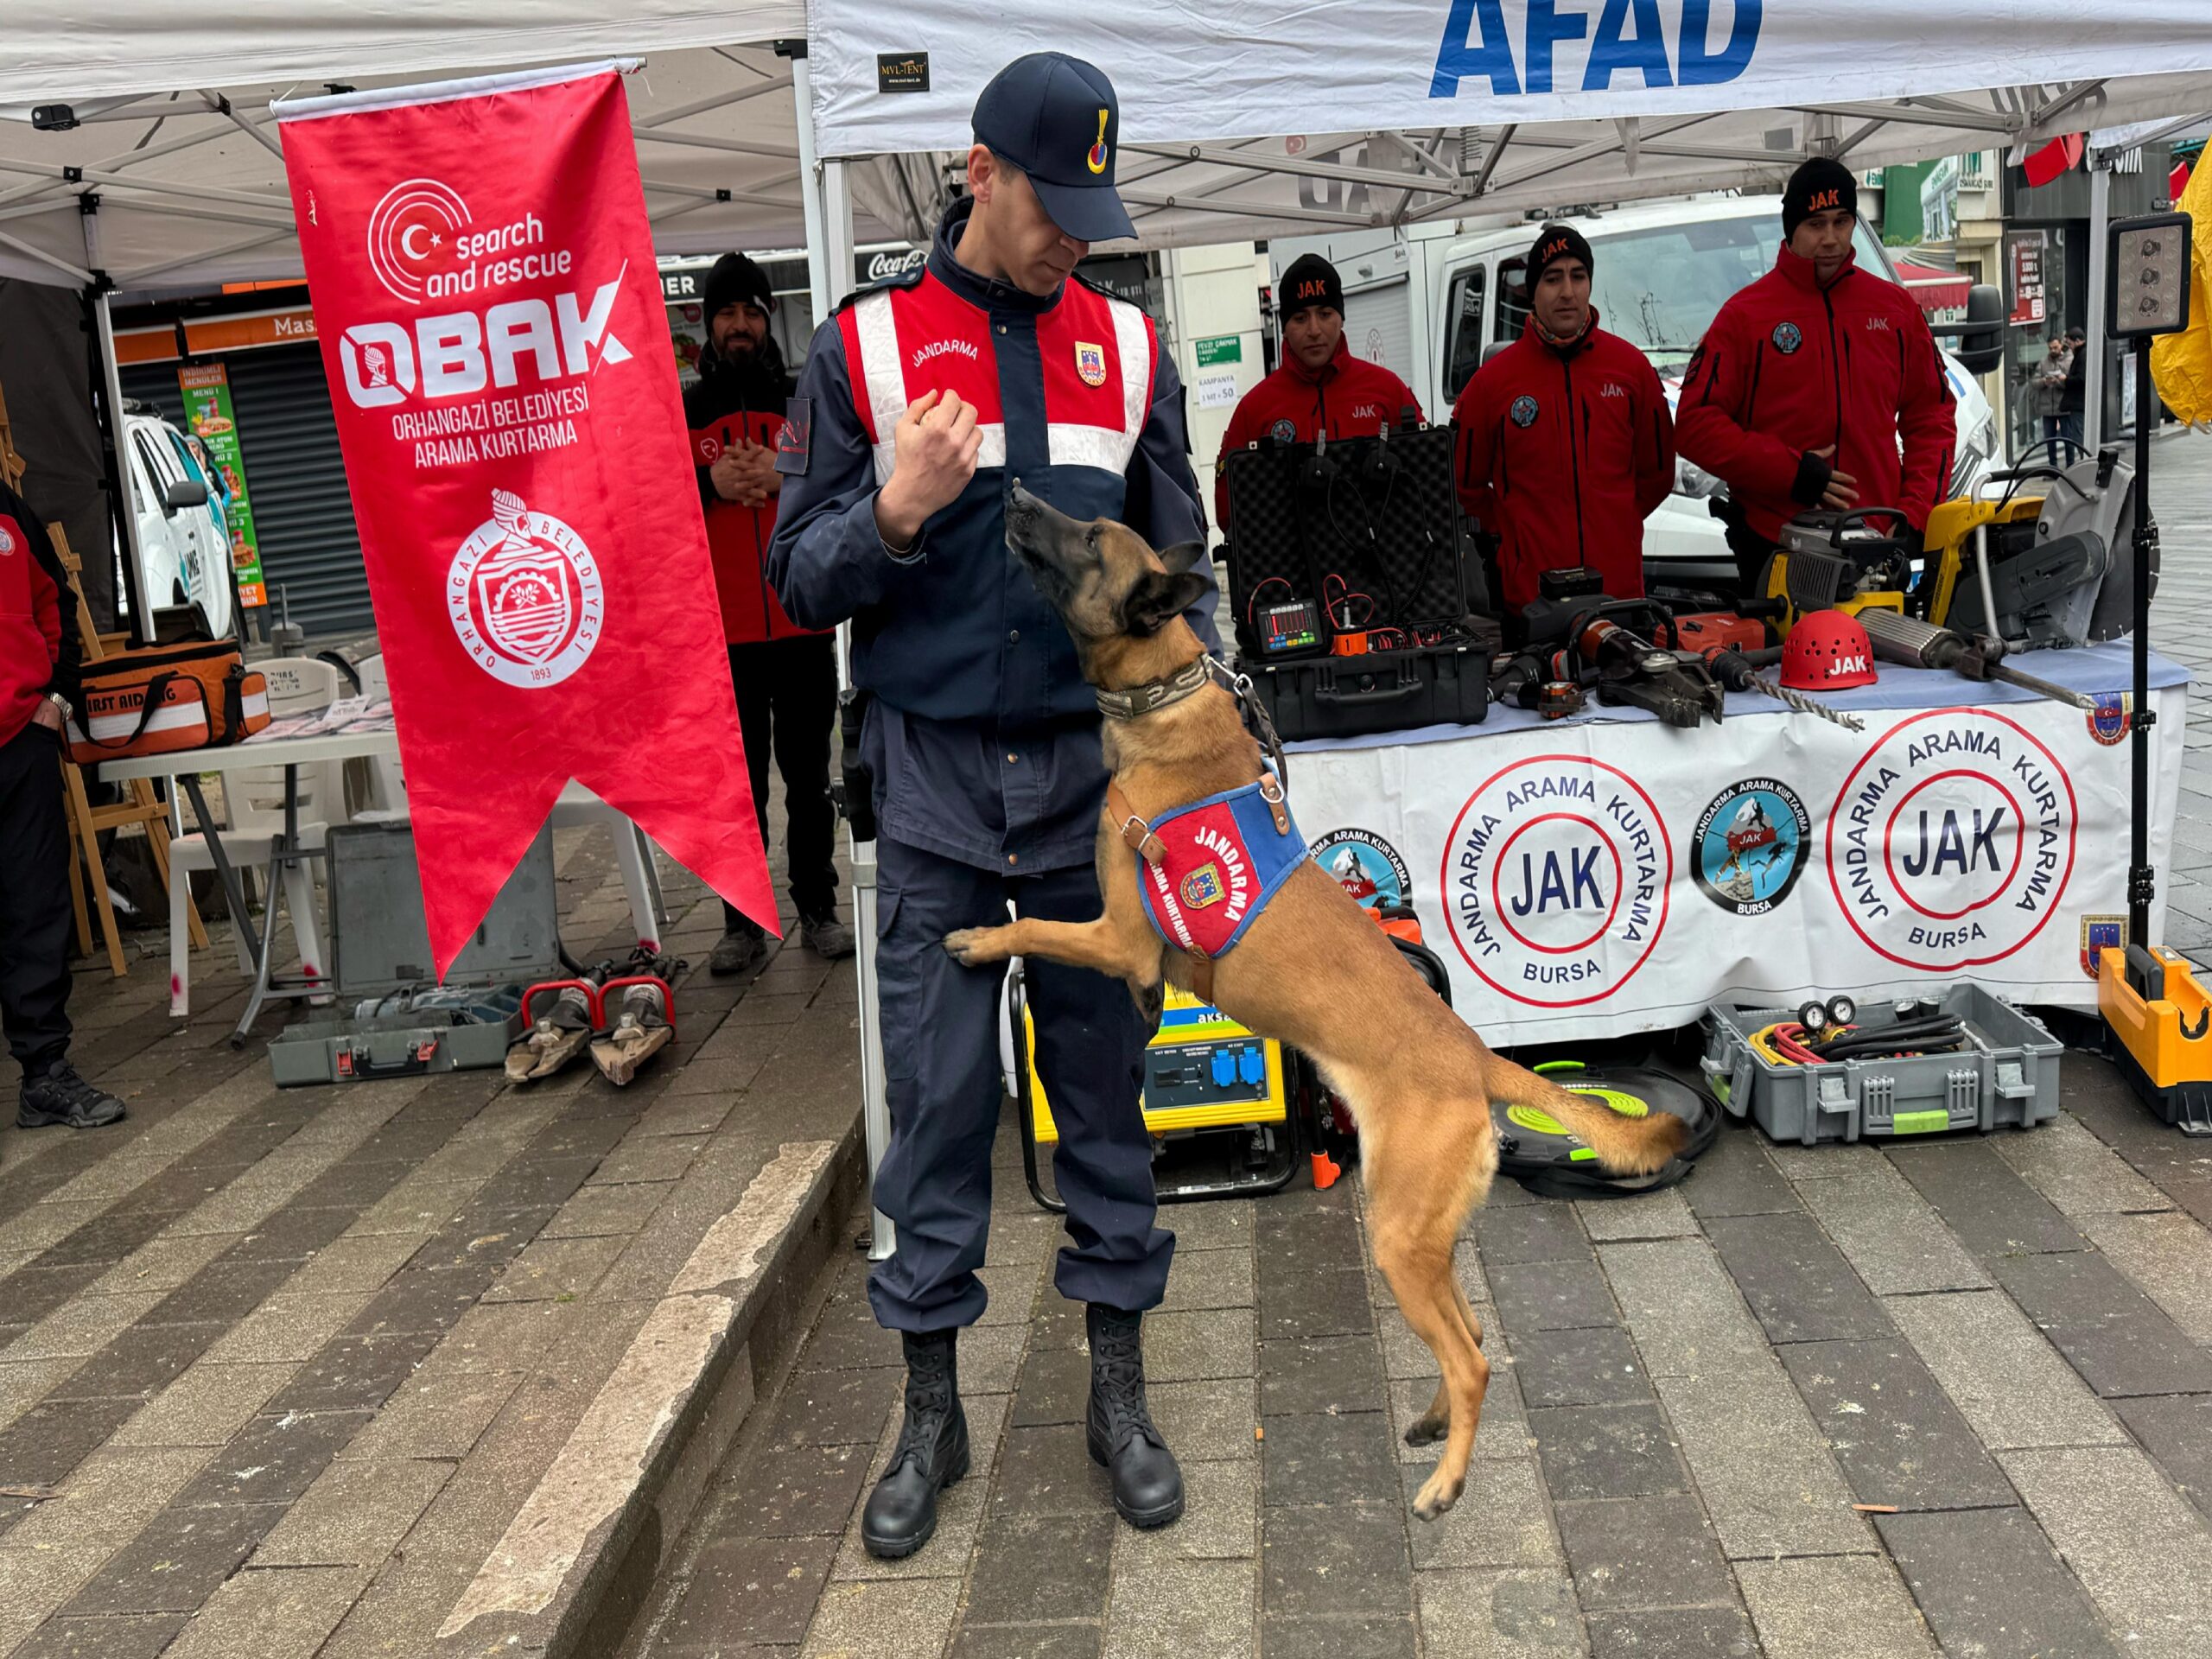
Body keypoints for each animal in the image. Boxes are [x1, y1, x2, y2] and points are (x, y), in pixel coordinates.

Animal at [942, 480, 1681, 1522]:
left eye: (1088, 538)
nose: (1010, 489)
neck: (1164, 694)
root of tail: (1474, 1058)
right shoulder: (1136, 963)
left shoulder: (1118, 935)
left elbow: (1036, 926)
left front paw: (979, 939)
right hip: (1423, 1239)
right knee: (1471, 1338)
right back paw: (1429, 1425)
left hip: (1400, 1237)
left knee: (1471, 1360)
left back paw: (1444, 1482)